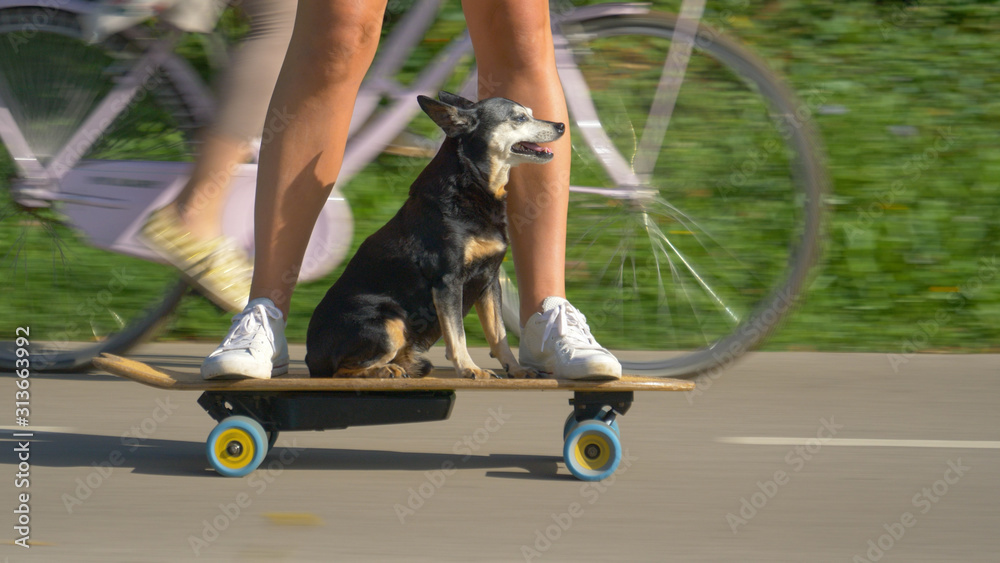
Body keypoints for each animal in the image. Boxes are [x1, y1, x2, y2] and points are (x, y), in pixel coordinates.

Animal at [304, 92, 568, 382]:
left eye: (531, 113)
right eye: (519, 118)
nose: (561, 125)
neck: (473, 185)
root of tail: (310, 356)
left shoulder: (489, 281)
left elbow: (498, 334)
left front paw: (516, 369)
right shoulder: (448, 281)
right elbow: (457, 334)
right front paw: (469, 368)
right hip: (390, 321)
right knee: (340, 370)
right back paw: (386, 369)